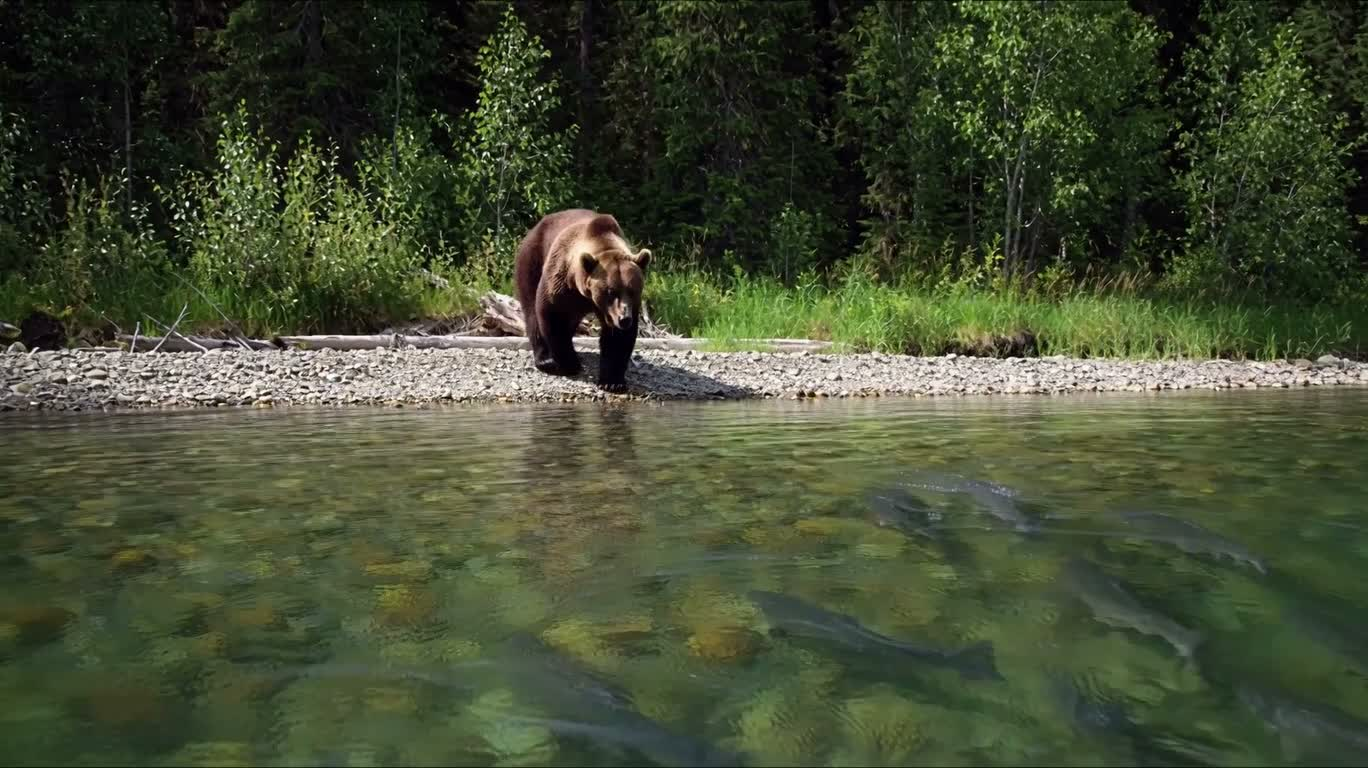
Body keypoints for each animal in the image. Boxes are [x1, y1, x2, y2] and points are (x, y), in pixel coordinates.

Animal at [514, 209, 652, 393]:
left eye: (632, 290)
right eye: (611, 291)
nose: (624, 319)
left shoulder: (621, 308)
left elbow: (618, 339)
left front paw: (612, 381)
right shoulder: (562, 282)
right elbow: (554, 316)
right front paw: (570, 363)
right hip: (532, 257)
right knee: (531, 307)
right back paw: (545, 359)